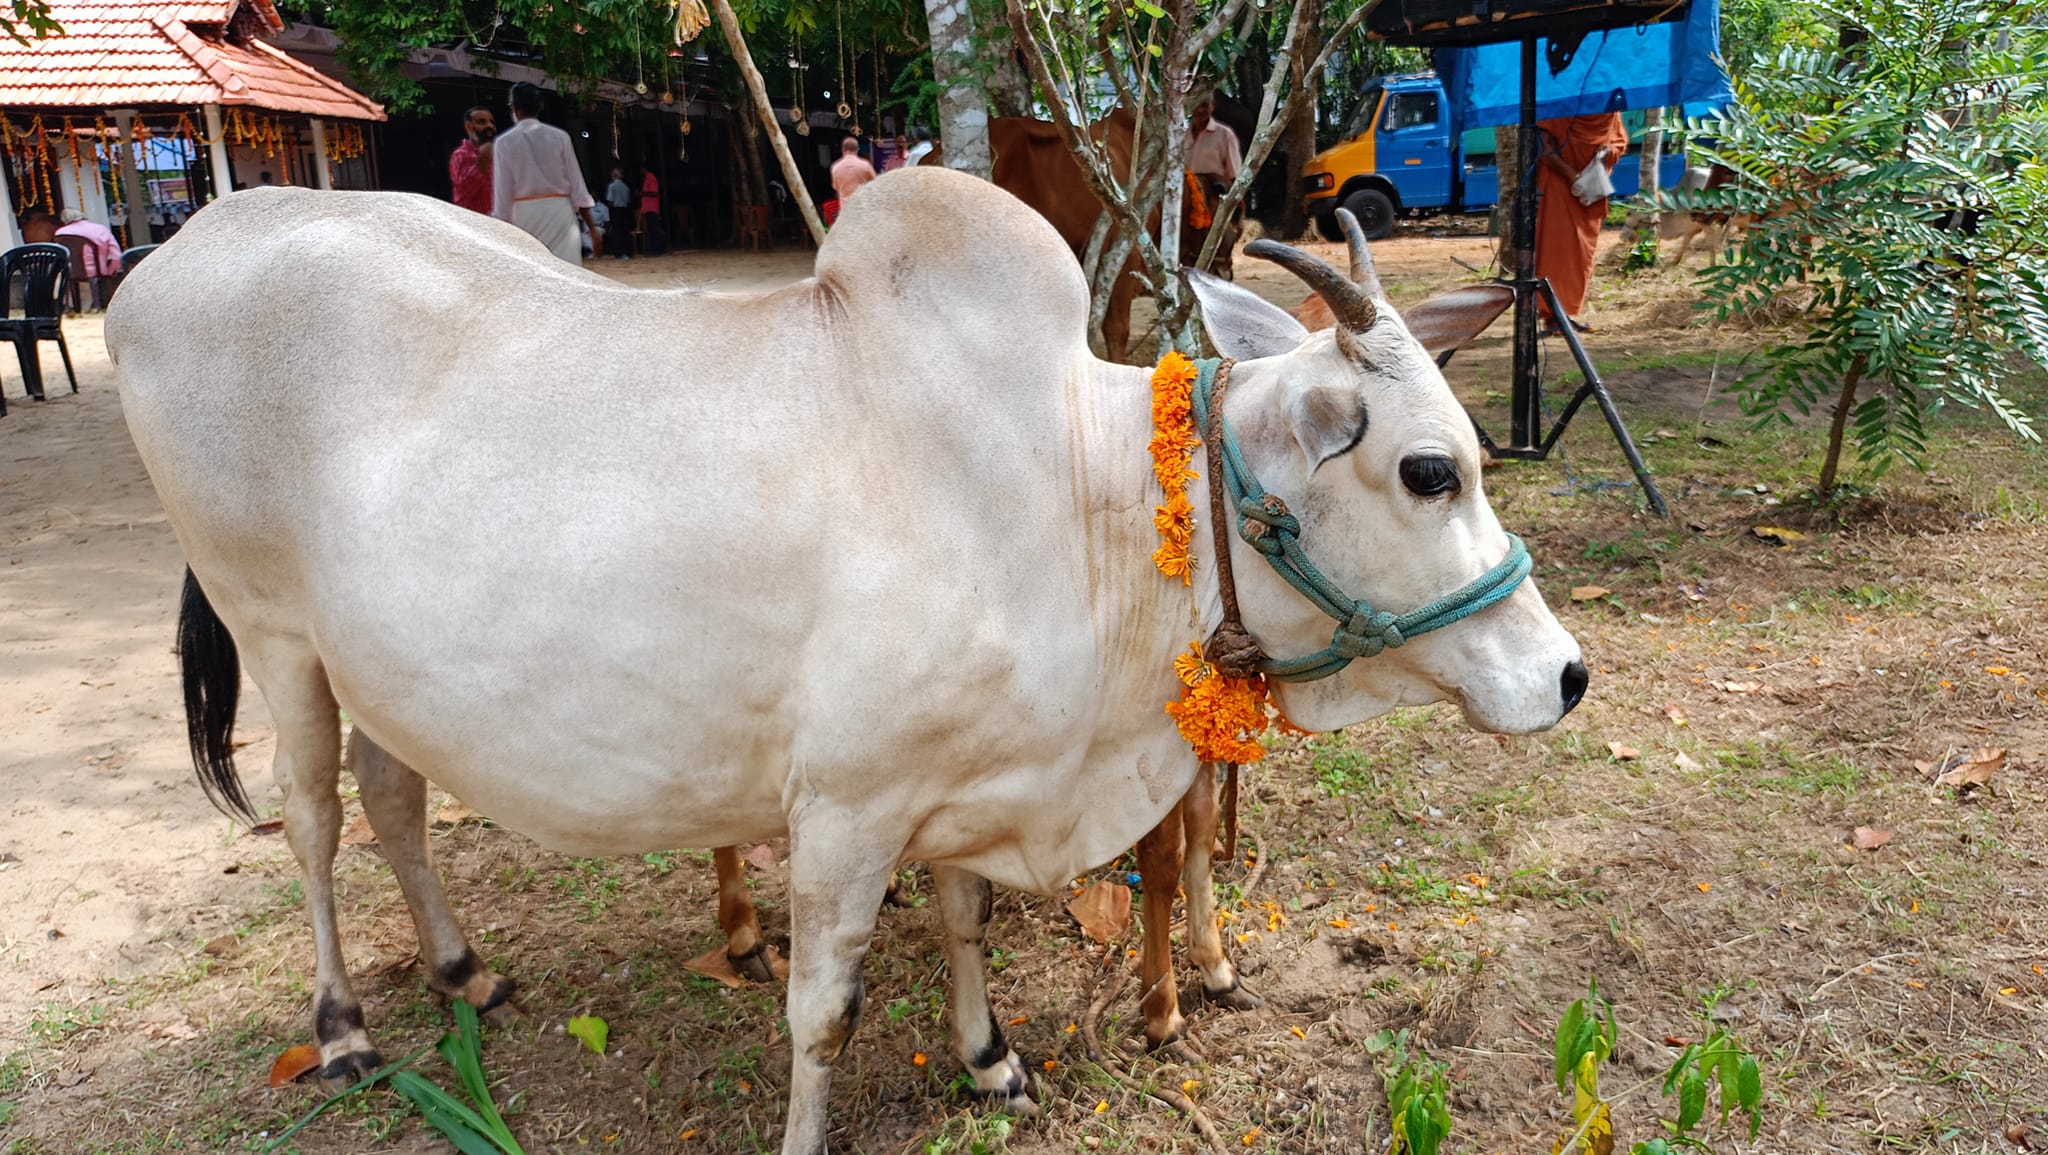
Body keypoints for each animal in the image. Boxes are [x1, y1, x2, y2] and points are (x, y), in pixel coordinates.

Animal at [112, 174, 1581, 1155]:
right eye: (1428, 469)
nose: (1564, 674)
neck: (1079, 496)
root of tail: (186, 244)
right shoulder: (844, 807)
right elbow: (823, 1010)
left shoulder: (960, 779)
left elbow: (965, 917)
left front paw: (989, 1059)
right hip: (277, 634)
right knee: (312, 818)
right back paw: (345, 1026)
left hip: (385, 668)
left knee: (396, 796)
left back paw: (464, 969)